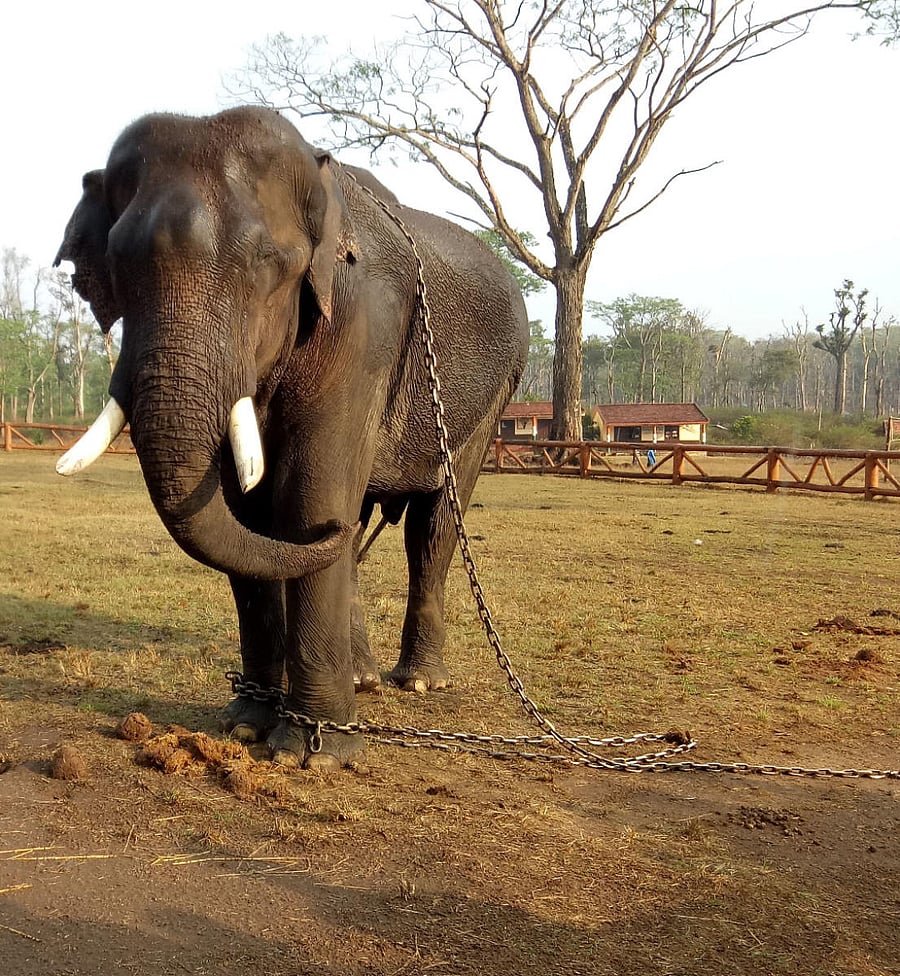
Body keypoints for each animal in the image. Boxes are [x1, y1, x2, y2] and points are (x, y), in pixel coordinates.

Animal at [55, 106, 529, 769]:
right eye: (120, 268)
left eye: (265, 264)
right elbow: (246, 511)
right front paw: (244, 727)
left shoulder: (362, 324)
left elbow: (309, 500)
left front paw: (314, 753)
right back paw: (362, 676)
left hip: (493, 395)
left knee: (431, 523)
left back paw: (418, 681)